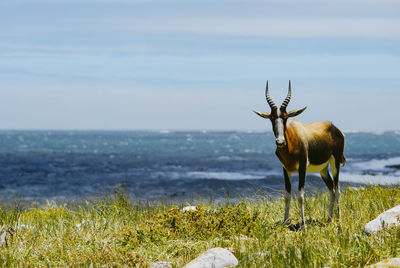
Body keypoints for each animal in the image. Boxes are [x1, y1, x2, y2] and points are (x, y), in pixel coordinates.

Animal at [255, 80, 346, 229]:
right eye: (272, 118)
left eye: (285, 117)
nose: (280, 142)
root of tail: (334, 128)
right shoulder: (286, 169)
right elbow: (287, 195)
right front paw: (285, 222)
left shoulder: (302, 168)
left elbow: (301, 195)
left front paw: (303, 225)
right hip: (323, 169)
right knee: (331, 189)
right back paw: (329, 219)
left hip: (336, 162)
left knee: (337, 189)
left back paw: (339, 219)